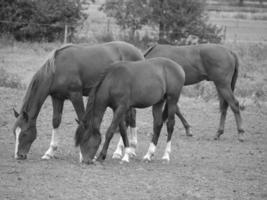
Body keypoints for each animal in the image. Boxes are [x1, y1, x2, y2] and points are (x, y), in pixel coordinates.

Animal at [12, 41, 144, 160]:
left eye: (24, 133)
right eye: (14, 133)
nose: (18, 156)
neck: (58, 69)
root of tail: (138, 52)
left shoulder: (75, 95)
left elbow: (82, 119)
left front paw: (84, 153)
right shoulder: (57, 97)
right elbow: (56, 121)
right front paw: (50, 152)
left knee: (129, 118)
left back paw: (126, 150)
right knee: (130, 118)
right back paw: (127, 151)